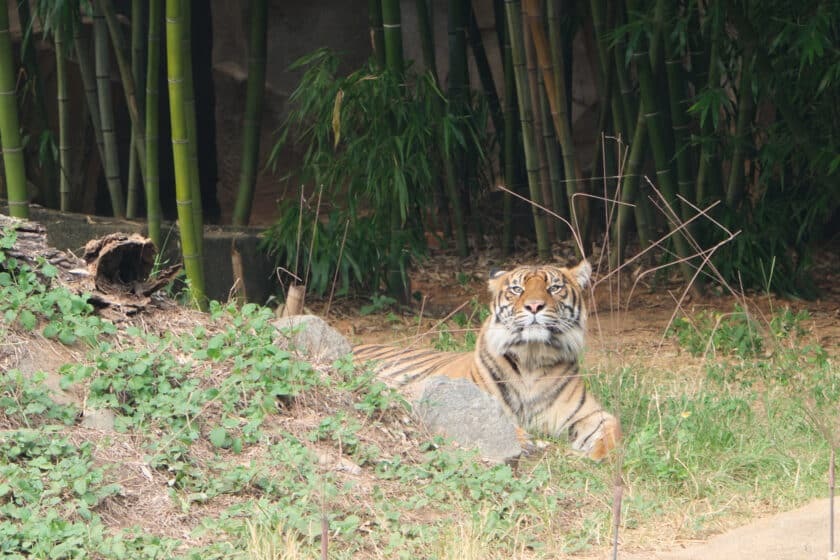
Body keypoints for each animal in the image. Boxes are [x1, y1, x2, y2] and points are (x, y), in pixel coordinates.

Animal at [353, 260, 620, 461]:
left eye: (554, 288)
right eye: (517, 289)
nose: (535, 306)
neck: (531, 359)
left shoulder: (588, 414)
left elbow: (612, 430)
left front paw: (598, 455)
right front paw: (524, 441)